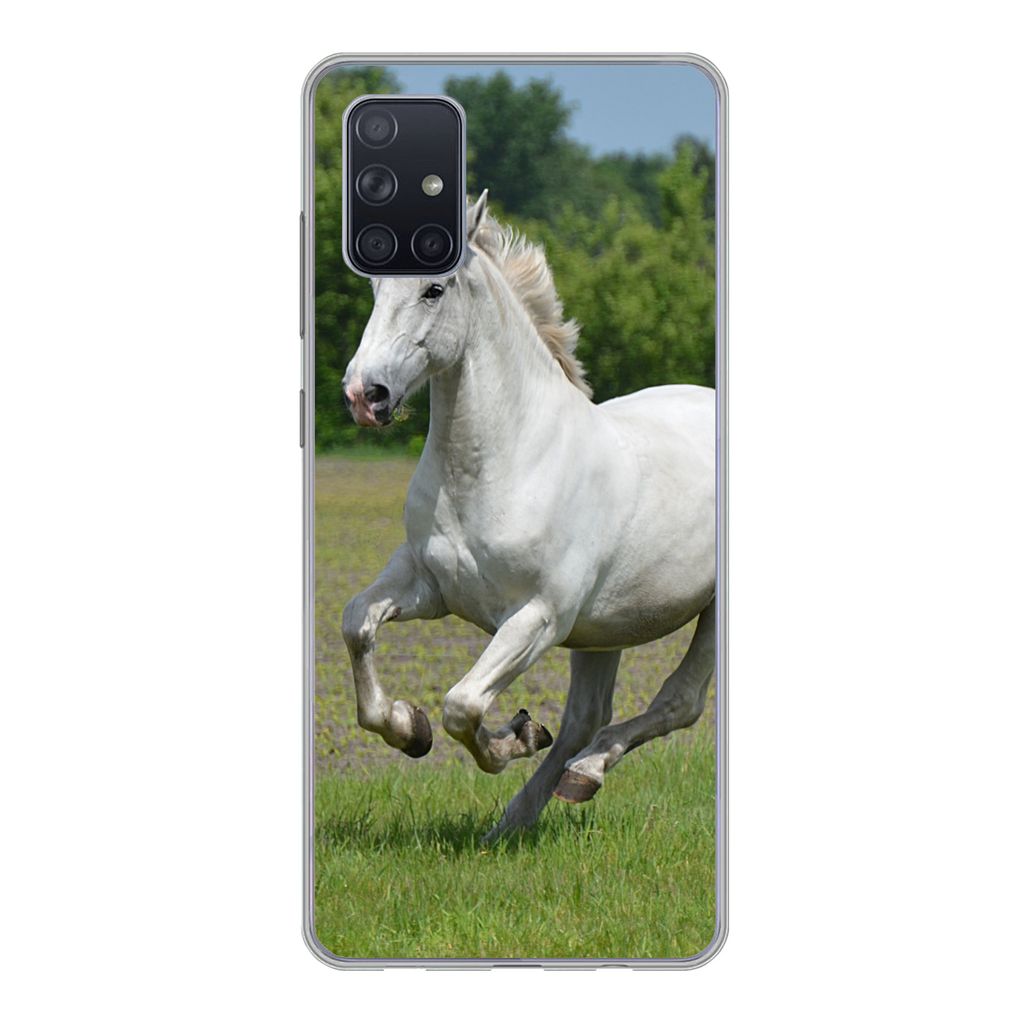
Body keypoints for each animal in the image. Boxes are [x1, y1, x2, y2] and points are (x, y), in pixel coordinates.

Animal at [339, 191, 716, 841]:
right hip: (606, 628)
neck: (505, 463)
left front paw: (514, 735)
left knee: (677, 702)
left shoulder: (538, 618)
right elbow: (357, 624)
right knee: (586, 717)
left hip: (705, 613)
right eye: (375, 288)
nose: (367, 395)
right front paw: (409, 729)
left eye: (433, 289)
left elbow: (462, 705)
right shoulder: (428, 585)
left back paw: (584, 773)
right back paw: (516, 821)